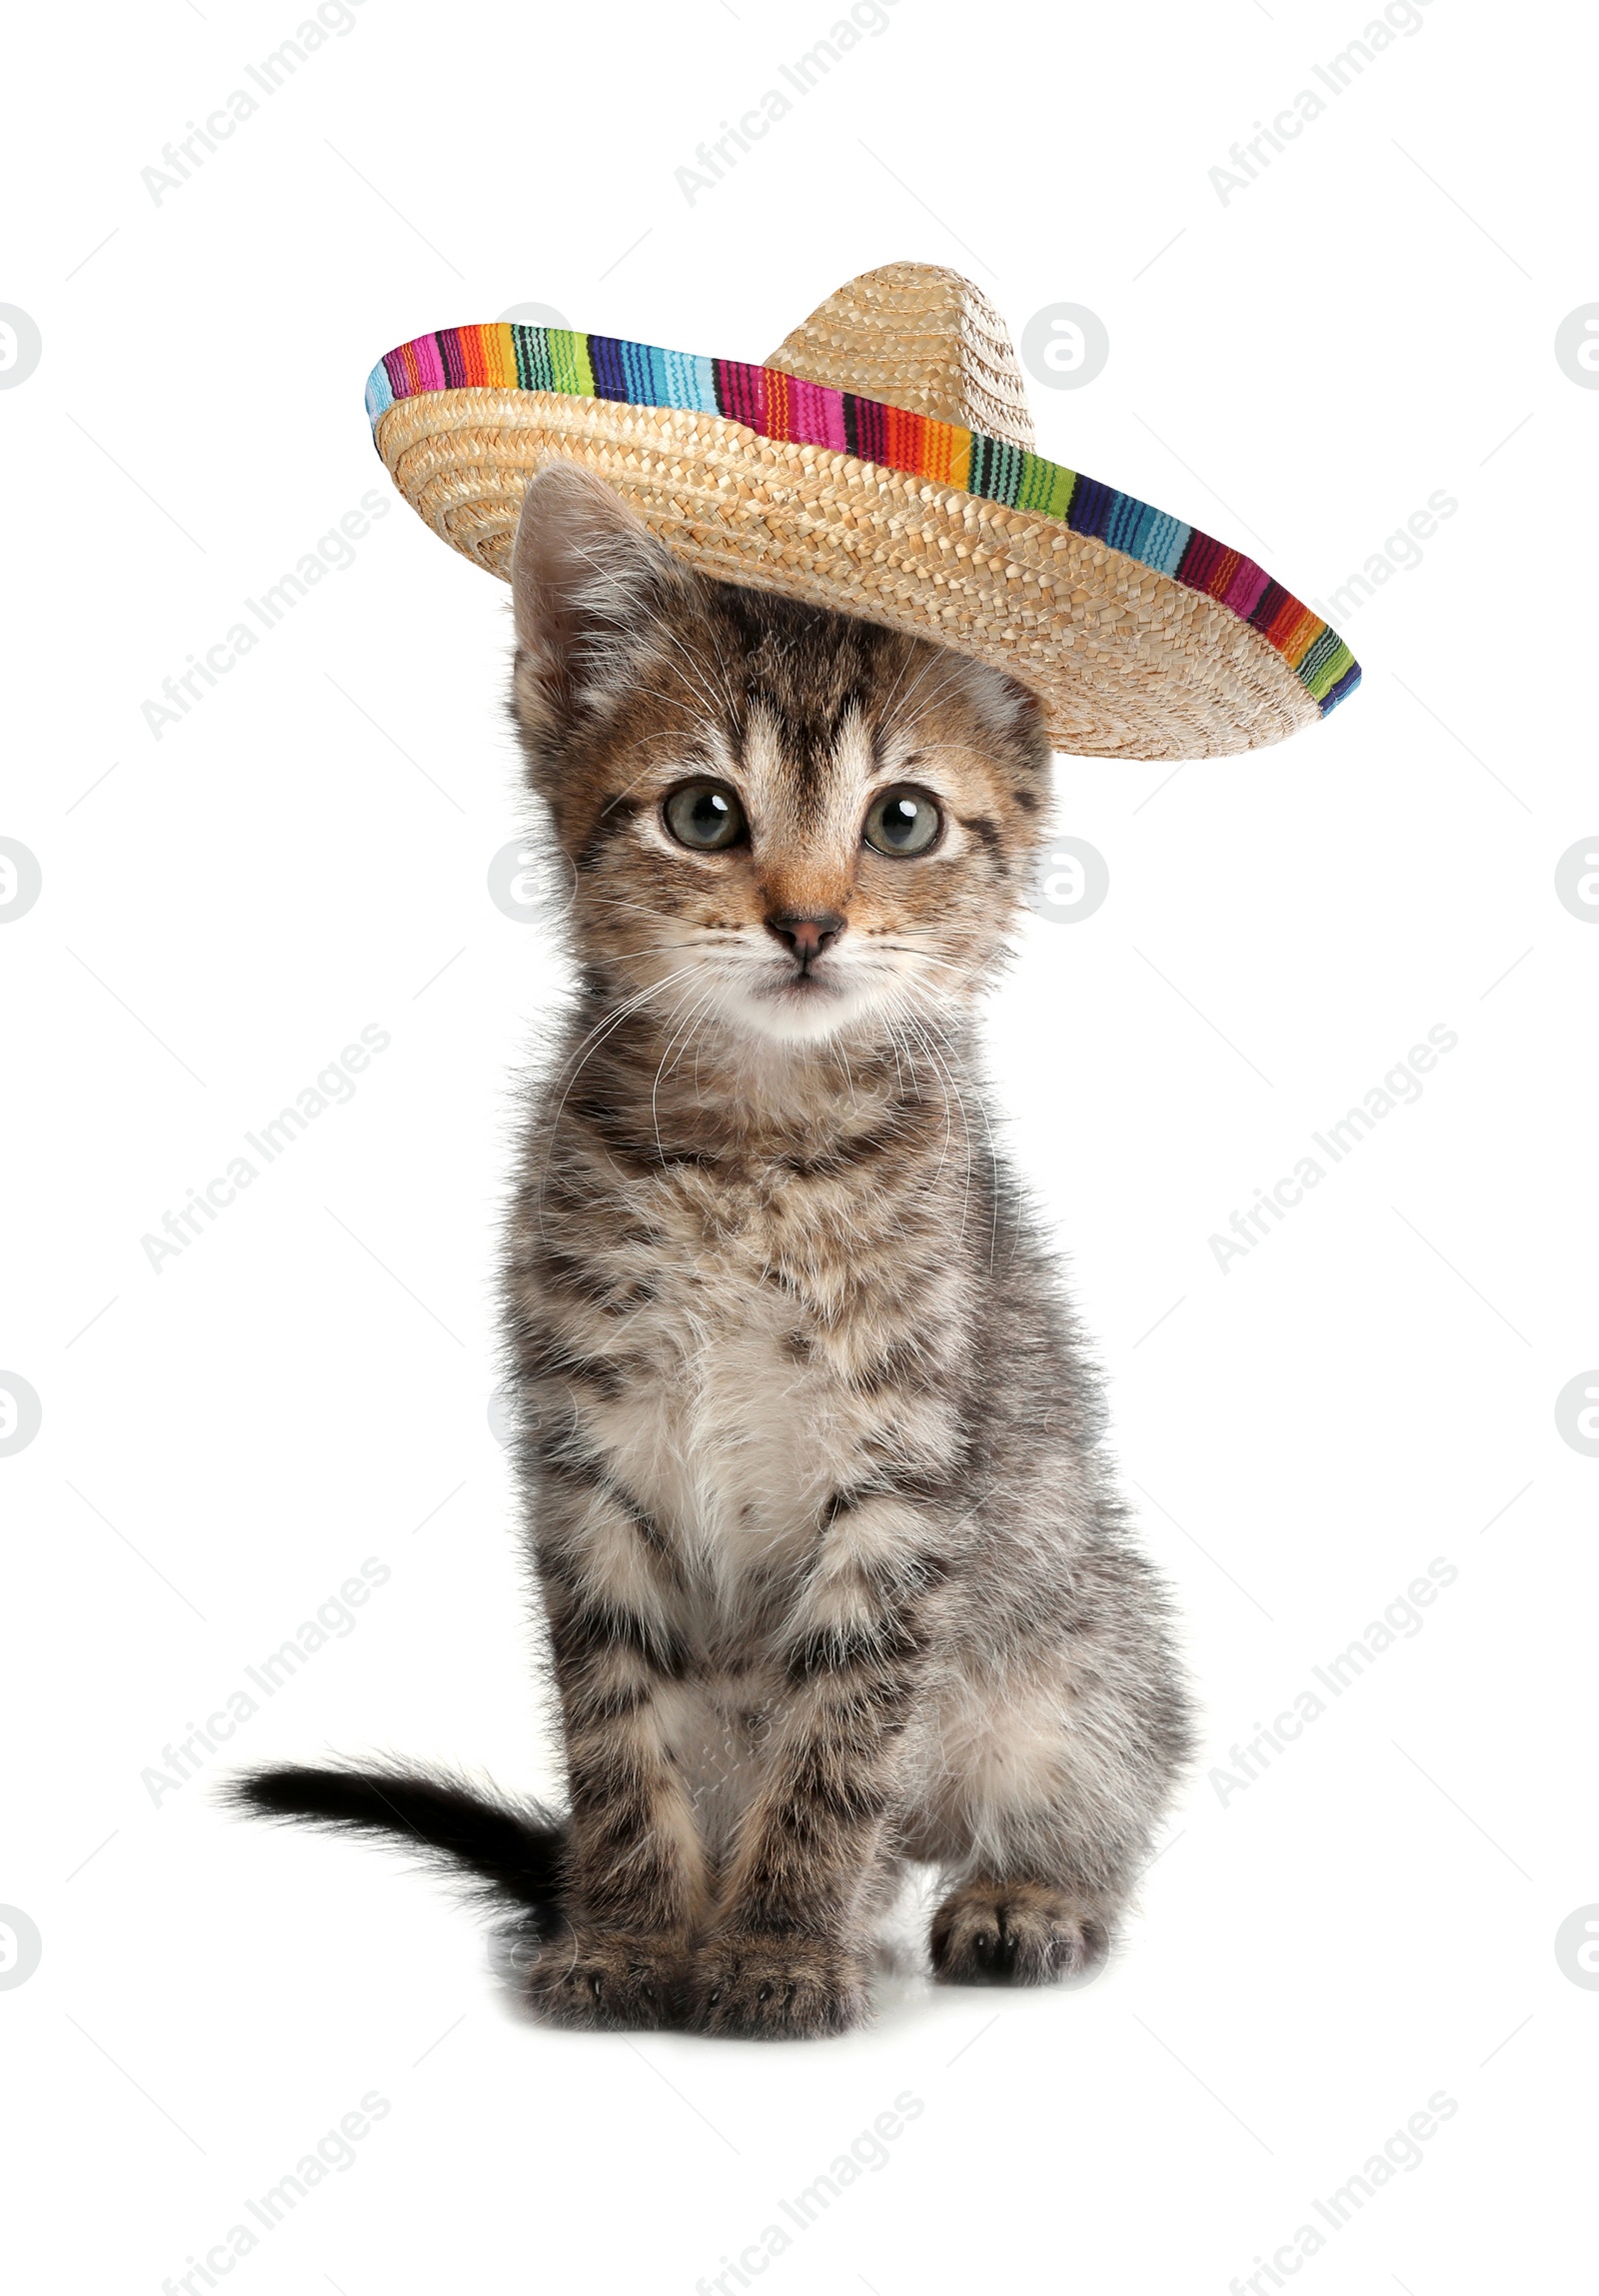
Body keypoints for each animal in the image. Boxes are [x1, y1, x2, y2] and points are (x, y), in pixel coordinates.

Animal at [234, 457, 1183, 2038]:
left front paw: (783, 1942)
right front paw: (628, 1932)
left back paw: (1017, 1892)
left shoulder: (905, 1479)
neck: (757, 1151)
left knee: (1084, 1784)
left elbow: (840, 1738)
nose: (806, 922)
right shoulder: (588, 1455)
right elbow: (618, 1730)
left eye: (903, 821)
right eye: (702, 811)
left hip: (1080, 1649)